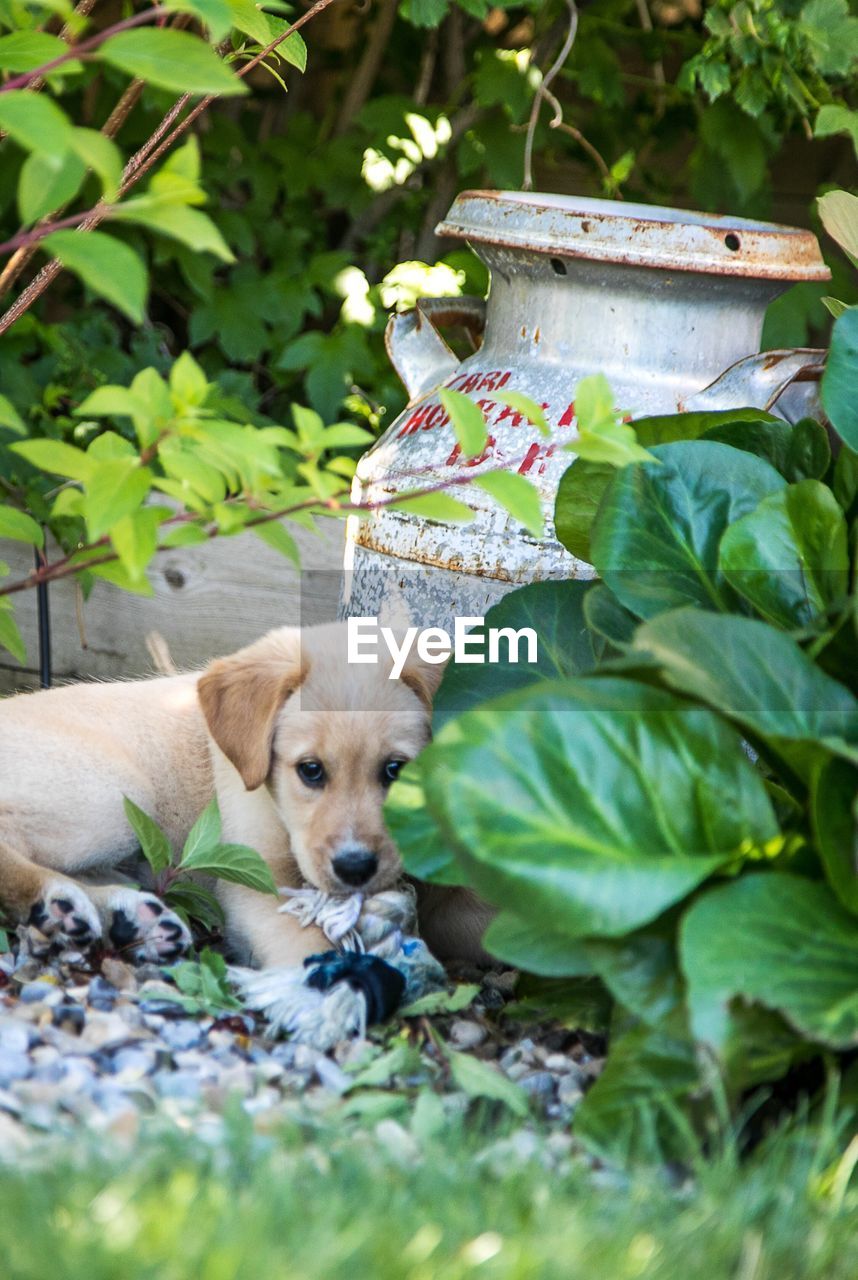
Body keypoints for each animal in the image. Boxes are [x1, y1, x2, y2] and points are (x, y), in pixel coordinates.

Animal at [0, 624, 491, 962]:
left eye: (396, 770)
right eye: (310, 770)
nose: (355, 869)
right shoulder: (256, 883)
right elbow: (305, 944)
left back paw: (132, 918)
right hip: (116, 793)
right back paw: (56, 903)